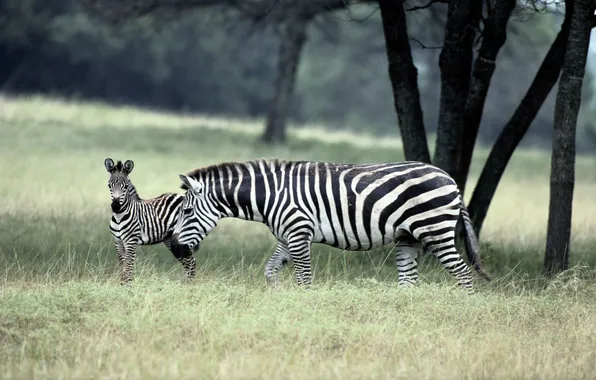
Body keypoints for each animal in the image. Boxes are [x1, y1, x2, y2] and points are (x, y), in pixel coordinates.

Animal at [102, 156, 196, 284]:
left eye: (125, 186)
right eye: (109, 186)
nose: (116, 207)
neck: (119, 217)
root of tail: (183, 196)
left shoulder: (131, 241)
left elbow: (129, 266)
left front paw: (128, 286)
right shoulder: (118, 241)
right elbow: (122, 266)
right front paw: (122, 284)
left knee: (191, 262)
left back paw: (190, 285)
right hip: (170, 239)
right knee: (188, 262)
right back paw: (187, 285)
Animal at [170, 157, 492, 290]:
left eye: (186, 211)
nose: (174, 248)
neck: (271, 195)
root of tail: (451, 180)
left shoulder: (299, 232)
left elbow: (304, 278)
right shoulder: (287, 236)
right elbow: (271, 271)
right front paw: (278, 297)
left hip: (435, 230)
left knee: (463, 273)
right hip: (407, 237)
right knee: (409, 281)